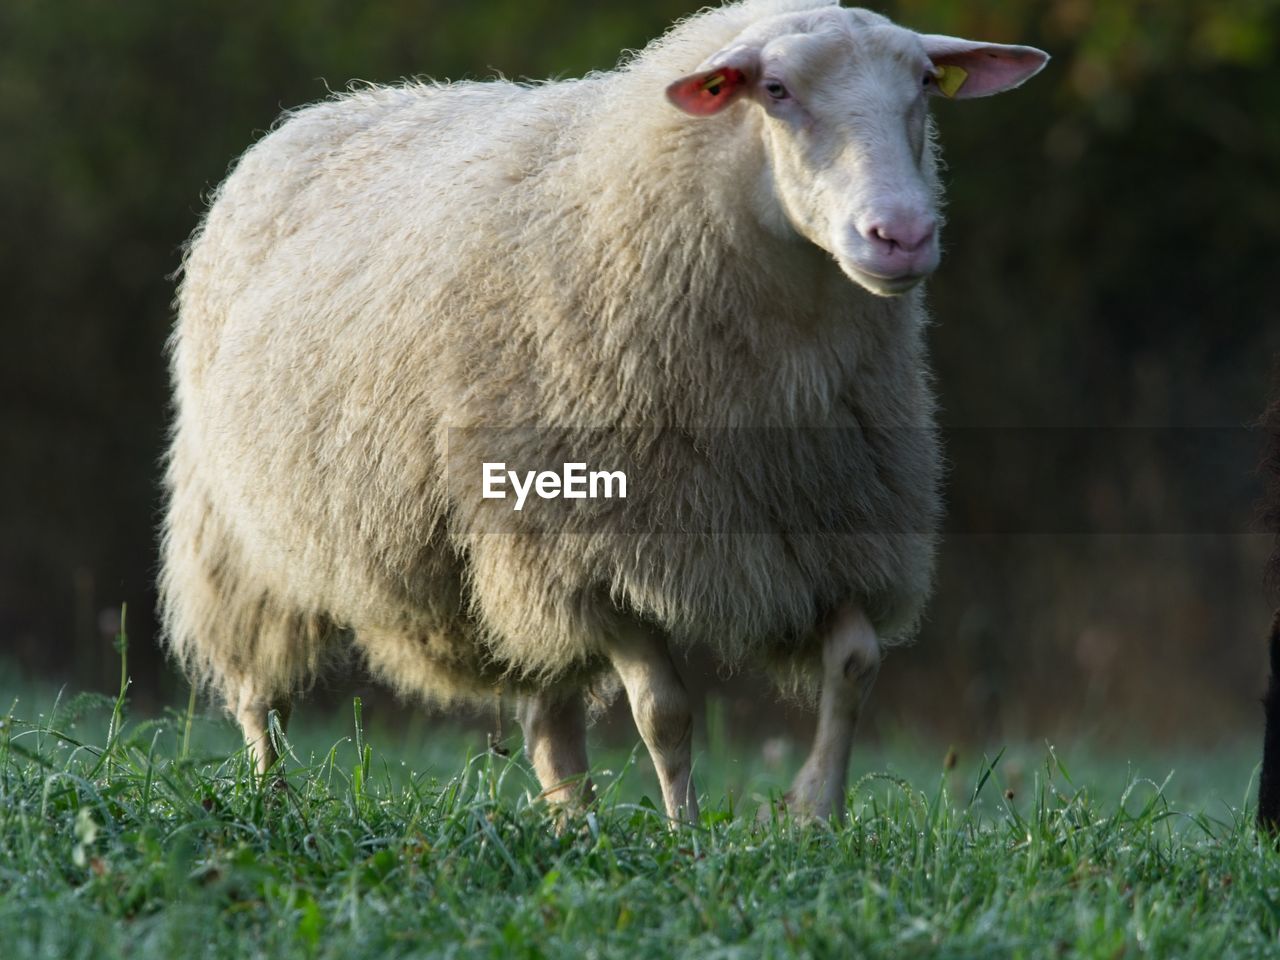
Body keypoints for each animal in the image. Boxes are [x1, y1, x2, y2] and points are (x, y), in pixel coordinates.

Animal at [161, 0, 1048, 822]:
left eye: (925, 85)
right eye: (776, 89)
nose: (902, 235)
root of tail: (322, 112)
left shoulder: (835, 526)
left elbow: (856, 664)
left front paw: (815, 815)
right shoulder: (589, 550)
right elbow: (666, 711)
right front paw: (686, 835)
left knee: (550, 727)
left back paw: (574, 827)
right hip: (239, 542)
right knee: (256, 690)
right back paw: (272, 797)